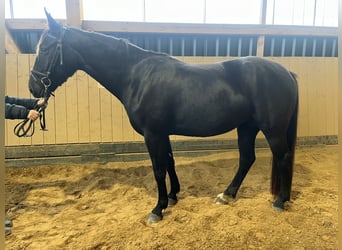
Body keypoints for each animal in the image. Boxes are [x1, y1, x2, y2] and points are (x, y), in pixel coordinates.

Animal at [28, 10, 296, 224]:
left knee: (282, 157)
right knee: (246, 159)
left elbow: (158, 169)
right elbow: (169, 162)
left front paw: (157, 209)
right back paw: (226, 195)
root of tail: (286, 72)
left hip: (272, 129)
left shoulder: (153, 134)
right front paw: (172, 196)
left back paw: (280, 201)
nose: (33, 87)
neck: (136, 75)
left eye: (46, 48)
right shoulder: (162, 133)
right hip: (247, 127)